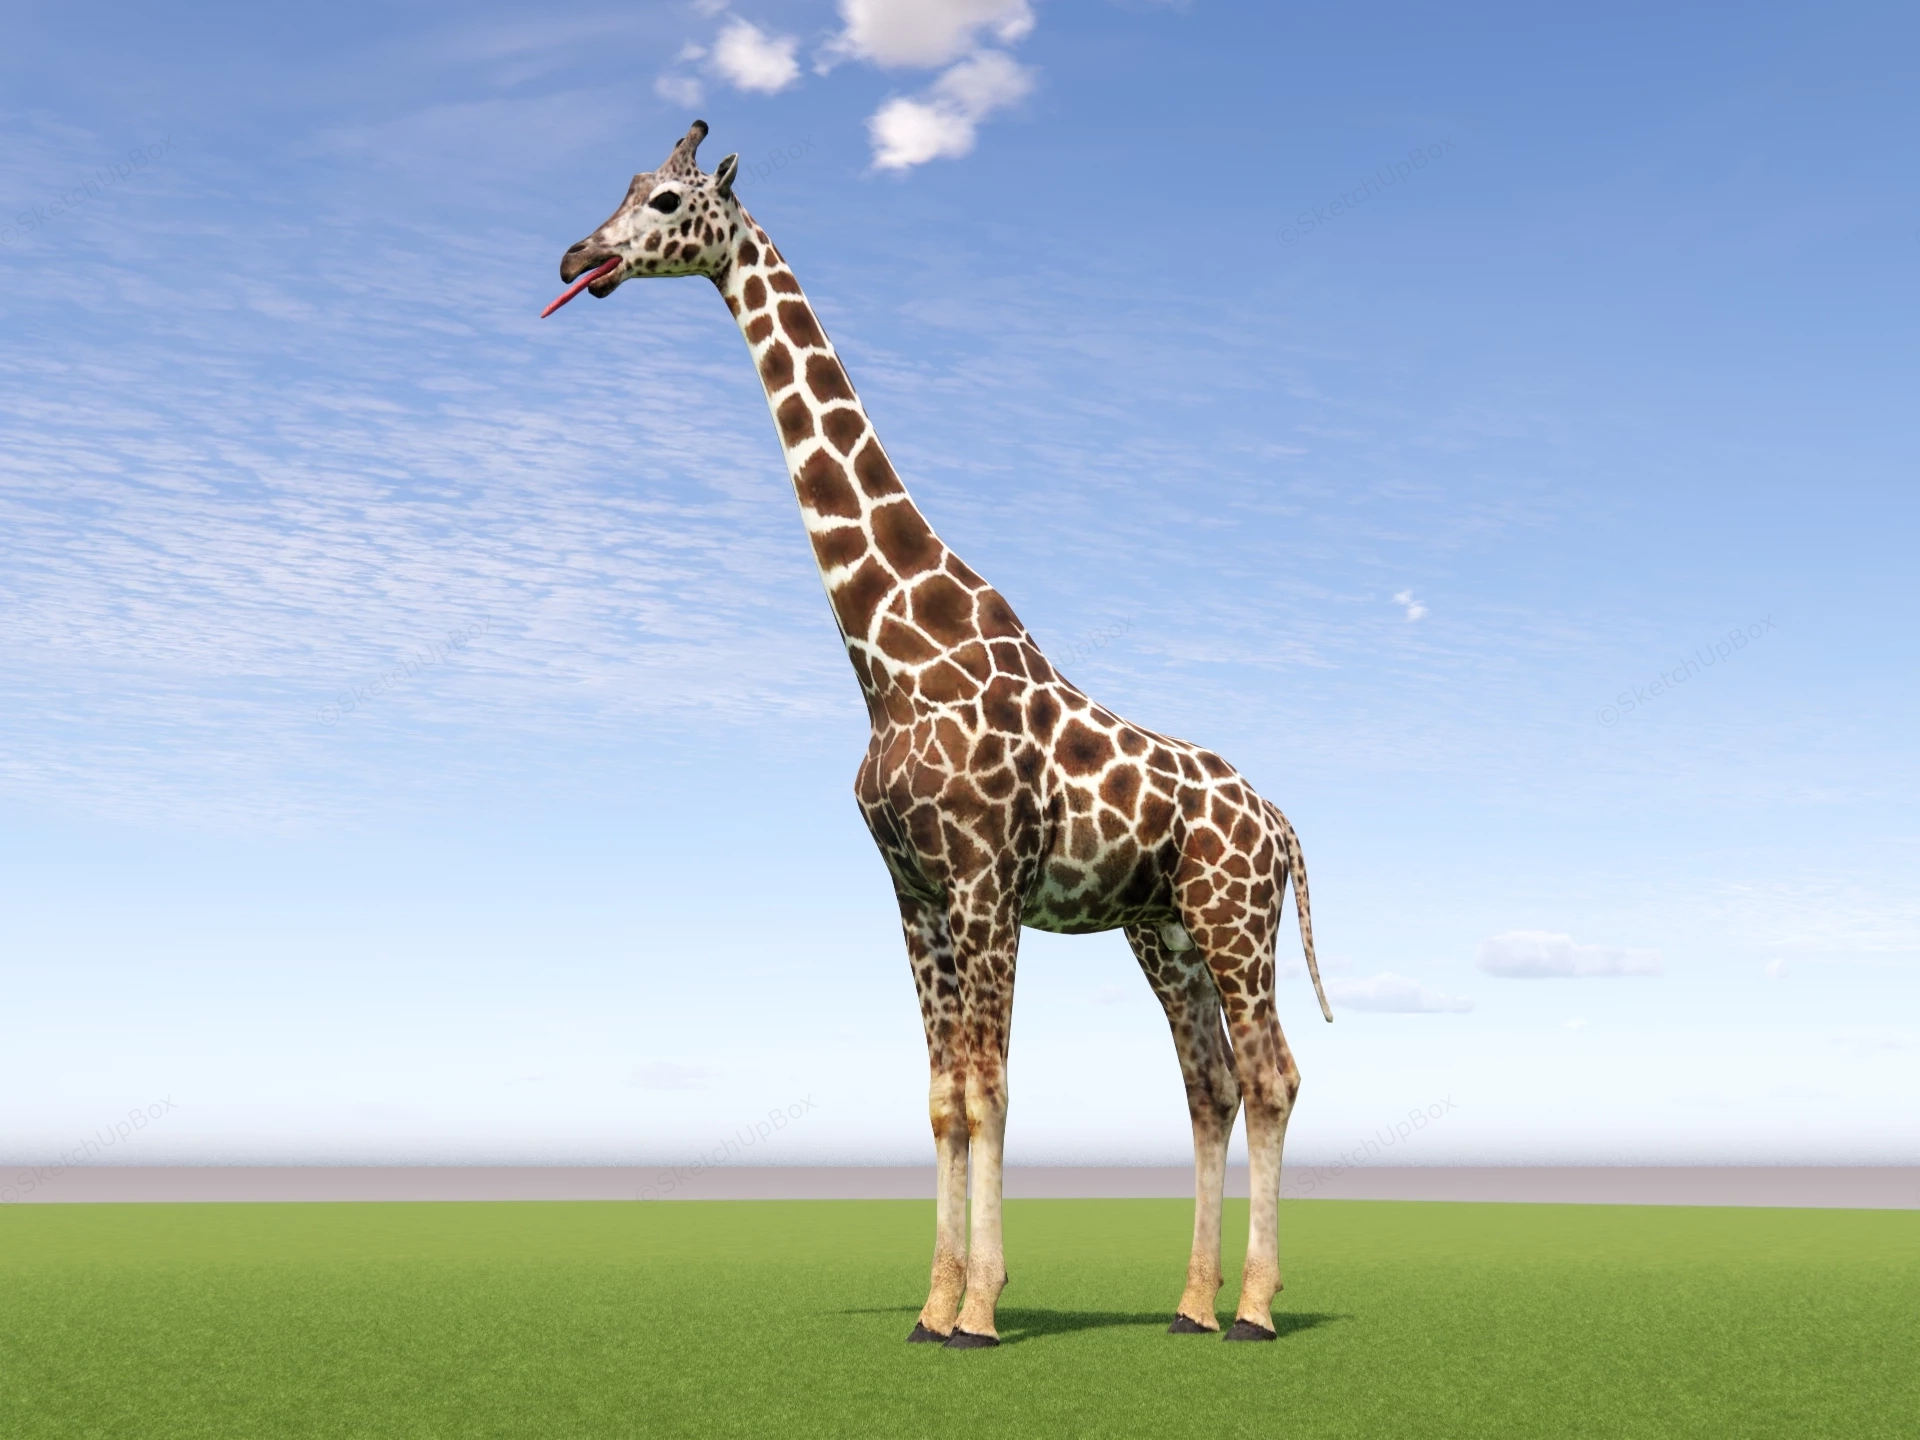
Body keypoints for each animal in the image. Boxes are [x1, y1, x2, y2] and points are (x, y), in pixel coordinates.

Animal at [546, 122, 1334, 1346]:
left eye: (668, 201)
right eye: (622, 189)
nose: (576, 255)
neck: (890, 653)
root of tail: (1283, 820)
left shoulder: (981, 884)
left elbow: (993, 1088)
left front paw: (979, 1312)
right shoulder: (913, 892)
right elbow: (943, 1097)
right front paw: (935, 1305)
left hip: (1234, 921)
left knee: (1273, 1077)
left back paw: (1252, 1308)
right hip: (1163, 933)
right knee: (1207, 1087)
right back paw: (1192, 1307)